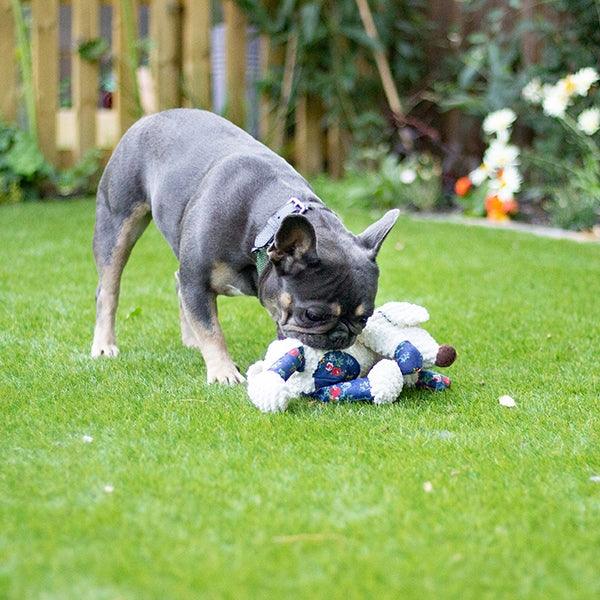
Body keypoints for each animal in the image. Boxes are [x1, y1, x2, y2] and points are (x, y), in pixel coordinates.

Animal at [91, 110, 398, 384]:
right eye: (313, 315)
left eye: (365, 318)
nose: (341, 336)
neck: (264, 229)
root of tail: (150, 118)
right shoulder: (197, 282)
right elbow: (211, 329)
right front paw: (223, 373)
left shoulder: (196, 283)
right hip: (117, 224)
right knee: (108, 289)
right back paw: (104, 345)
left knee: (177, 285)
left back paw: (190, 340)